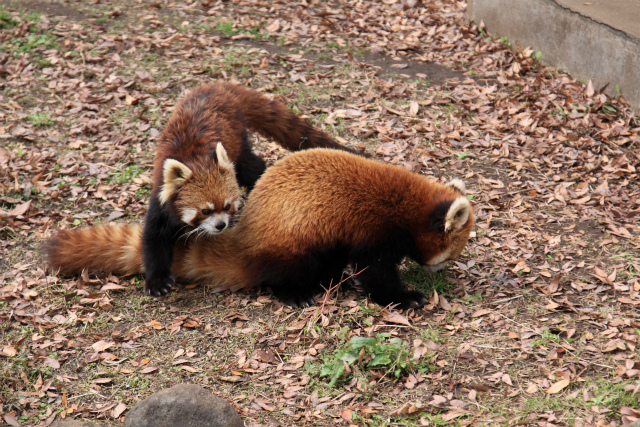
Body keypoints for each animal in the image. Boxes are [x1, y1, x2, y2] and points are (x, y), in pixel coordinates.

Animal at [46, 149, 476, 310]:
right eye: (454, 250)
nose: (443, 270)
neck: (406, 206)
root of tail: (245, 231)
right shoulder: (373, 230)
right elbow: (376, 275)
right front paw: (405, 297)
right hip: (294, 241)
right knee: (283, 272)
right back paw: (297, 293)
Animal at [142, 82, 358, 300]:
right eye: (205, 211)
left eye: (227, 206)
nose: (221, 225)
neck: (196, 161)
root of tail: (215, 86)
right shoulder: (161, 197)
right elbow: (154, 238)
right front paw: (157, 281)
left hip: (237, 139)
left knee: (250, 167)